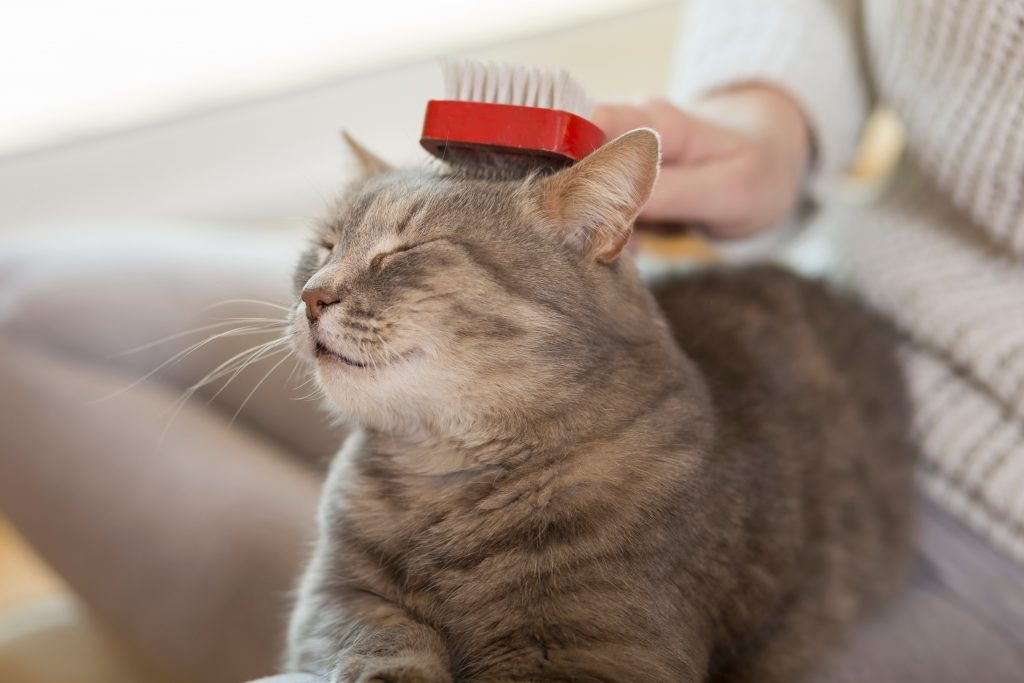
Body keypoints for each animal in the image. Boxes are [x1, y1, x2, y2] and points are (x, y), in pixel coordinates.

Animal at [284, 129, 917, 683]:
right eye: (325, 246)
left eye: (407, 250)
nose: (311, 296)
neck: (445, 472)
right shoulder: (338, 597)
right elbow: (379, 642)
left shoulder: (596, 651)